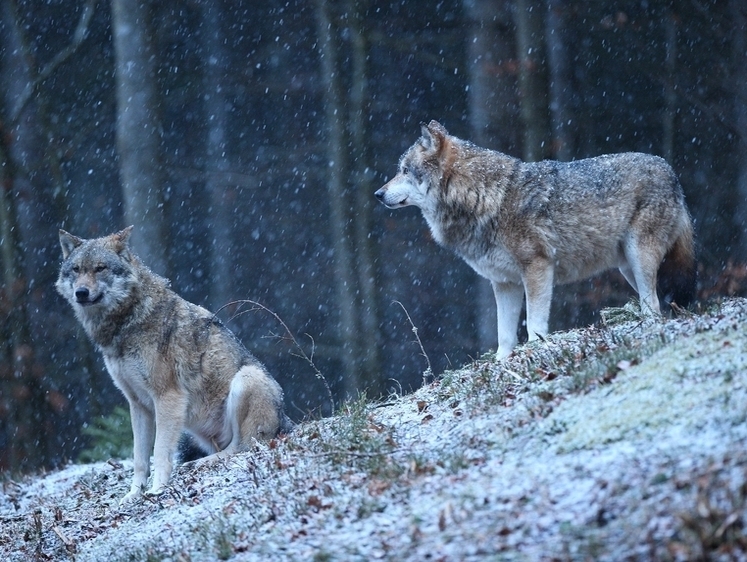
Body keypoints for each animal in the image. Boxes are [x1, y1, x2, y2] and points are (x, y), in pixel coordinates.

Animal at [54, 225, 290, 500]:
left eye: (100, 268)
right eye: (76, 269)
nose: (80, 292)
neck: (127, 322)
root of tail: (285, 420)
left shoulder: (167, 397)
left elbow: (159, 452)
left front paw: (157, 490)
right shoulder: (138, 404)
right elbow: (139, 458)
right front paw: (133, 495)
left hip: (247, 378)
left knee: (242, 447)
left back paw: (199, 463)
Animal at [376, 120, 700, 358]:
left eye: (404, 171)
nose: (378, 194)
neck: (485, 198)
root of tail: (671, 171)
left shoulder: (538, 267)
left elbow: (534, 322)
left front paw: (536, 348)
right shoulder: (504, 283)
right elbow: (504, 335)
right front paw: (502, 364)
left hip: (639, 258)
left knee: (653, 305)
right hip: (628, 268)